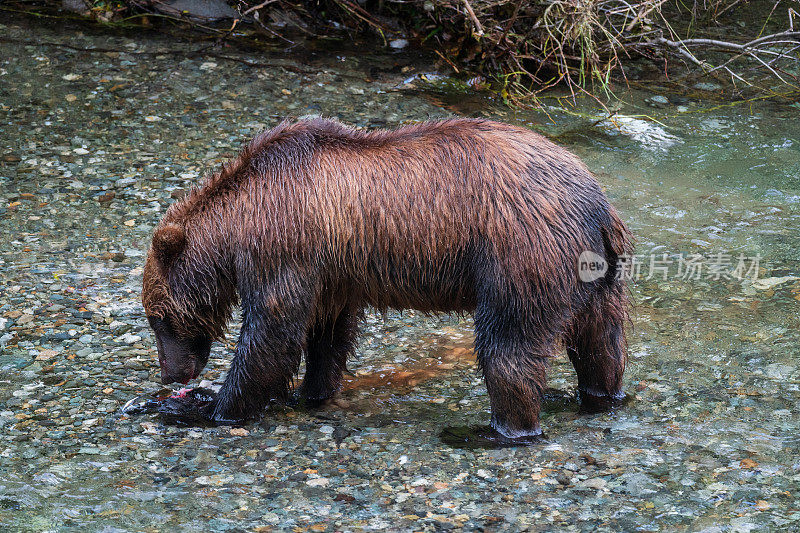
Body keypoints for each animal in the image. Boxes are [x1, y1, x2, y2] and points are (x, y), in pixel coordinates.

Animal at [142, 118, 632, 442]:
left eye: (157, 319)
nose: (170, 373)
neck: (236, 223)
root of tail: (598, 205)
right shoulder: (332, 270)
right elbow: (326, 335)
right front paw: (312, 392)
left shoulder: (284, 245)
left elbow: (271, 333)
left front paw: (207, 408)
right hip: (598, 276)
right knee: (600, 342)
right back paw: (601, 395)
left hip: (518, 255)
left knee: (508, 347)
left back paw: (503, 428)